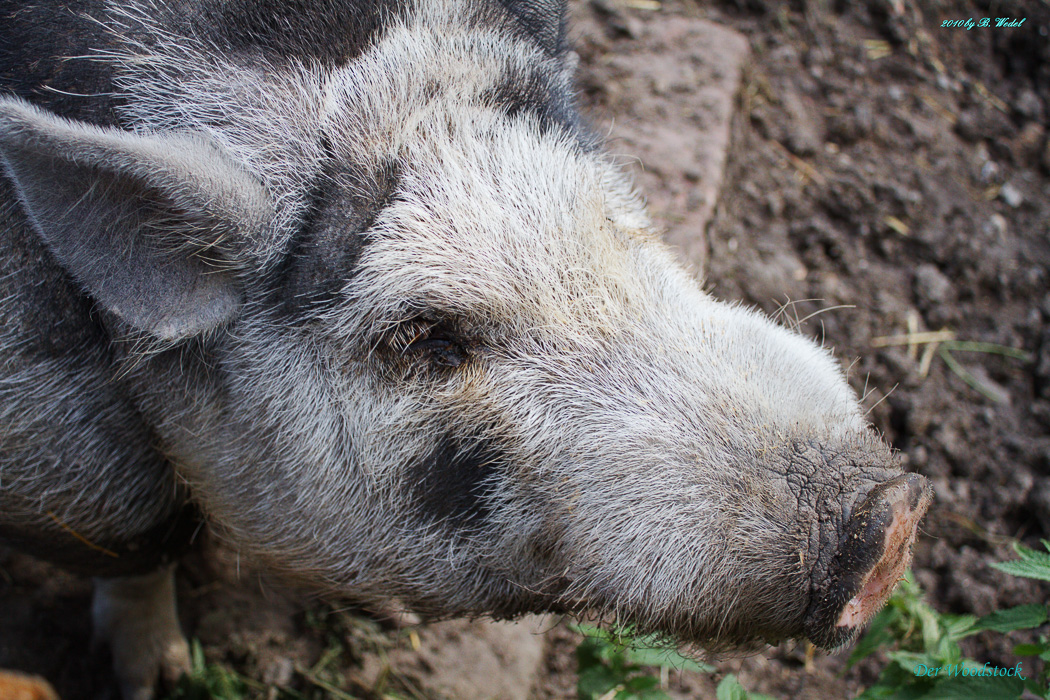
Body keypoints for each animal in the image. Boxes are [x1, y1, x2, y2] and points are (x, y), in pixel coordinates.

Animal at [2, 0, 936, 696]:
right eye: (428, 339)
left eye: (615, 224)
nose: (888, 514)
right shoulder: (51, 438)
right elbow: (133, 541)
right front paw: (155, 678)